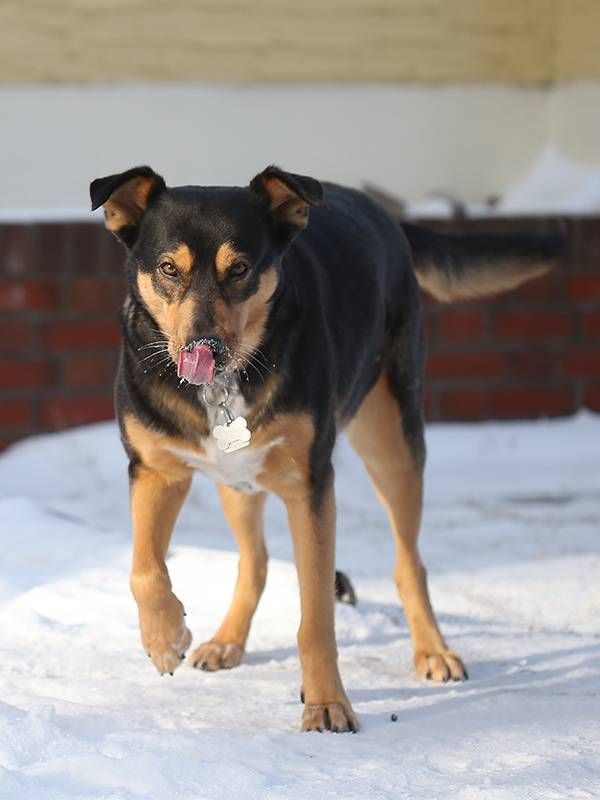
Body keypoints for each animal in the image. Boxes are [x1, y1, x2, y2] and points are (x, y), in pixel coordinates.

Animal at [89, 166, 564, 736]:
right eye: (167, 268)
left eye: (241, 269)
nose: (205, 349)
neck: (225, 387)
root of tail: (384, 214)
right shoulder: (155, 470)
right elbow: (143, 567)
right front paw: (164, 639)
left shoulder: (310, 484)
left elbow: (316, 616)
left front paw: (326, 704)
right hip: (237, 480)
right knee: (256, 561)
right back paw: (227, 640)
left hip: (393, 443)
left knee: (409, 563)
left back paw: (433, 650)